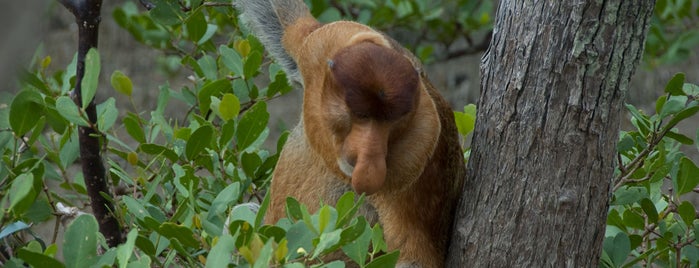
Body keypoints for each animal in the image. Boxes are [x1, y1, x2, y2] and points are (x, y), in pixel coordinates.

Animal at [234, 0, 464, 266]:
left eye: (390, 122)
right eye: (361, 115)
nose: (366, 158)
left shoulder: (421, 155)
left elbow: (415, 255)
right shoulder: (321, 41)